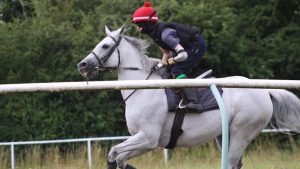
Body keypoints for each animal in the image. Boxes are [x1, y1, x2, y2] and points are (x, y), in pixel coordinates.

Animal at [77, 25, 300, 168]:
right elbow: (116, 157)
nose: (83, 64)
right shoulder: (141, 139)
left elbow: (115, 153)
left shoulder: (149, 138)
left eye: (105, 46)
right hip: (224, 135)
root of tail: (264, 91)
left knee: (230, 163)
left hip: (241, 133)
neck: (143, 88)